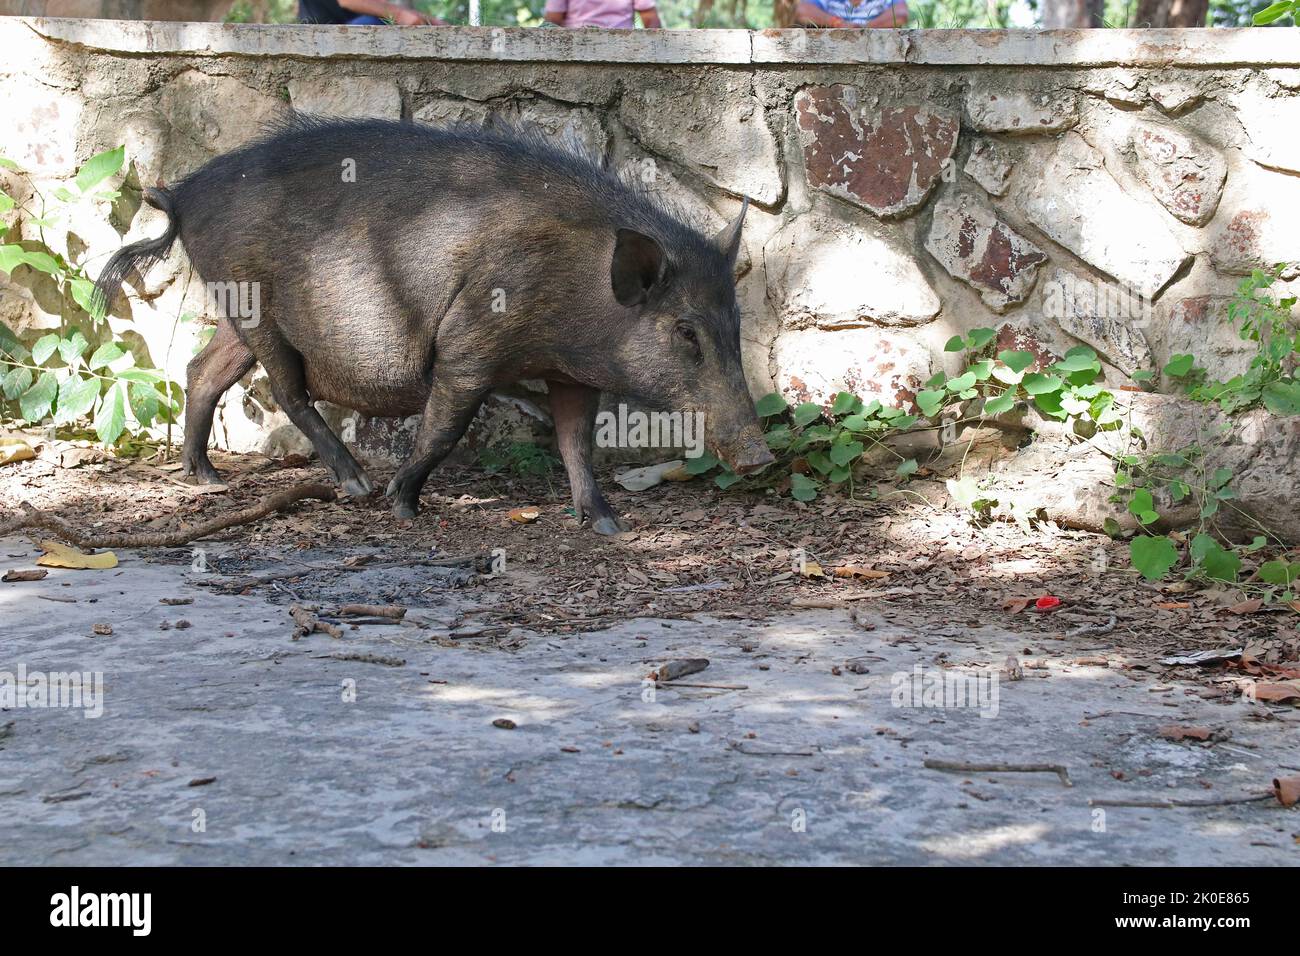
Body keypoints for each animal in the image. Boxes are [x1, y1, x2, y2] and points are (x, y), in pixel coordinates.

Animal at [94, 116, 774, 534]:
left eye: (734, 324)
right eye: (685, 331)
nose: (761, 458)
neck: (576, 286)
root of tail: (181, 197)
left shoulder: (571, 373)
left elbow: (576, 443)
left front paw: (608, 524)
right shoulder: (469, 345)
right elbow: (444, 428)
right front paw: (403, 506)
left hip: (237, 312)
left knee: (202, 369)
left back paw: (205, 478)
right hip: (257, 308)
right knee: (288, 391)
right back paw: (356, 486)